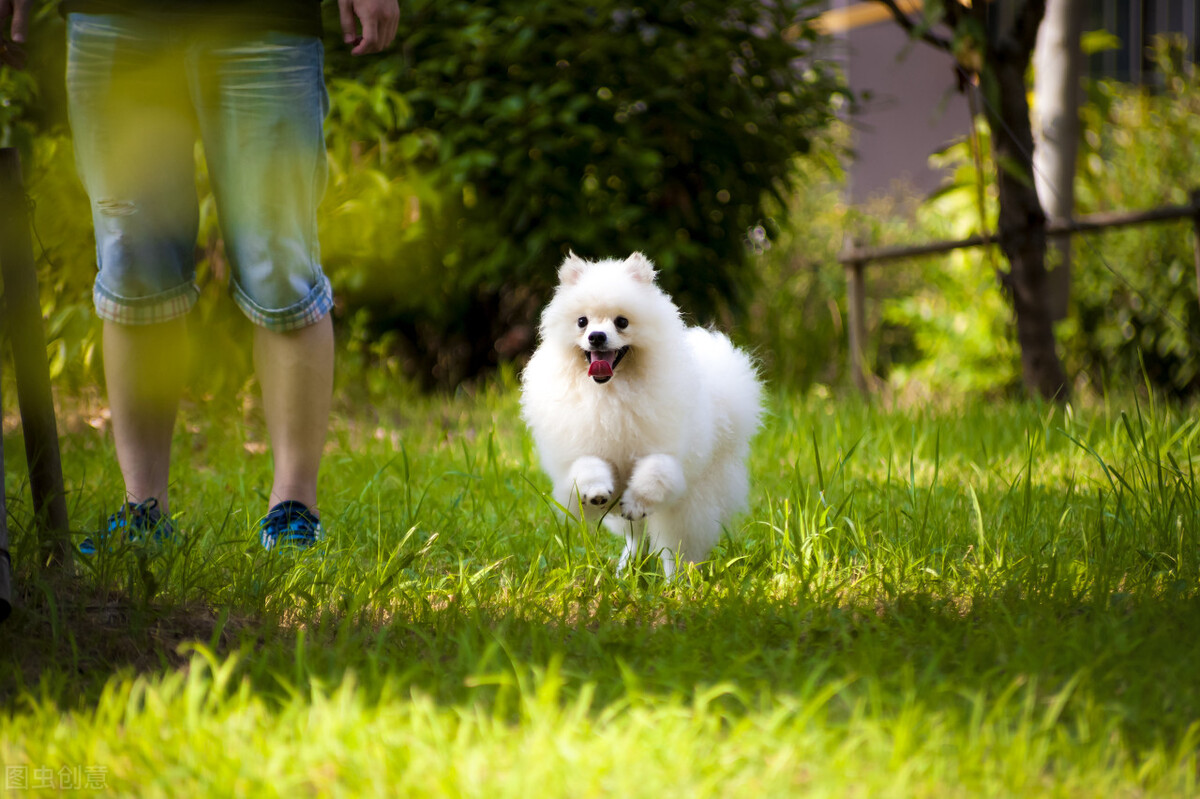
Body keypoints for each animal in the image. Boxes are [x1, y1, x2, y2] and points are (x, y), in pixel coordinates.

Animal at [520, 251, 763, 575]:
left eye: (622, 322)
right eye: (582, 322)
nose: (596, 336)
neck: (611, 392)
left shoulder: (666, 454)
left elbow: (654, 473)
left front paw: (636, 501)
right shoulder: (578, 452)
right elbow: (587, 467)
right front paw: (596, 490)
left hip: (691, 506)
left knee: (676, 549)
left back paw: (675, 582)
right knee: (636, 537)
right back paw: (627, 569)